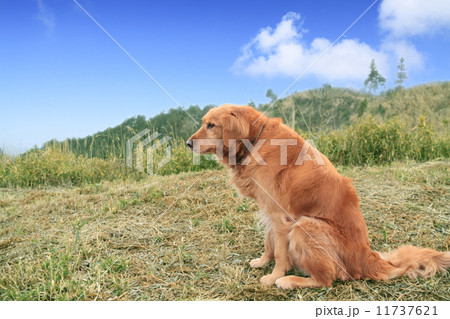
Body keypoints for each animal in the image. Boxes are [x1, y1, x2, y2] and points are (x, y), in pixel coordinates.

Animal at [186, 105, 450, 290]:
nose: (187, 143)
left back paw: (290, 281)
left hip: (306, 226)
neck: (255, 140)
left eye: (211, 125)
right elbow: (268, 242)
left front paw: (274, 276)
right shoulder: (269, 210)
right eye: (203, 123)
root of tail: (368, 258)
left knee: (328, 278)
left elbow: (280, 253)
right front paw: (262, 261)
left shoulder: (282, 217)